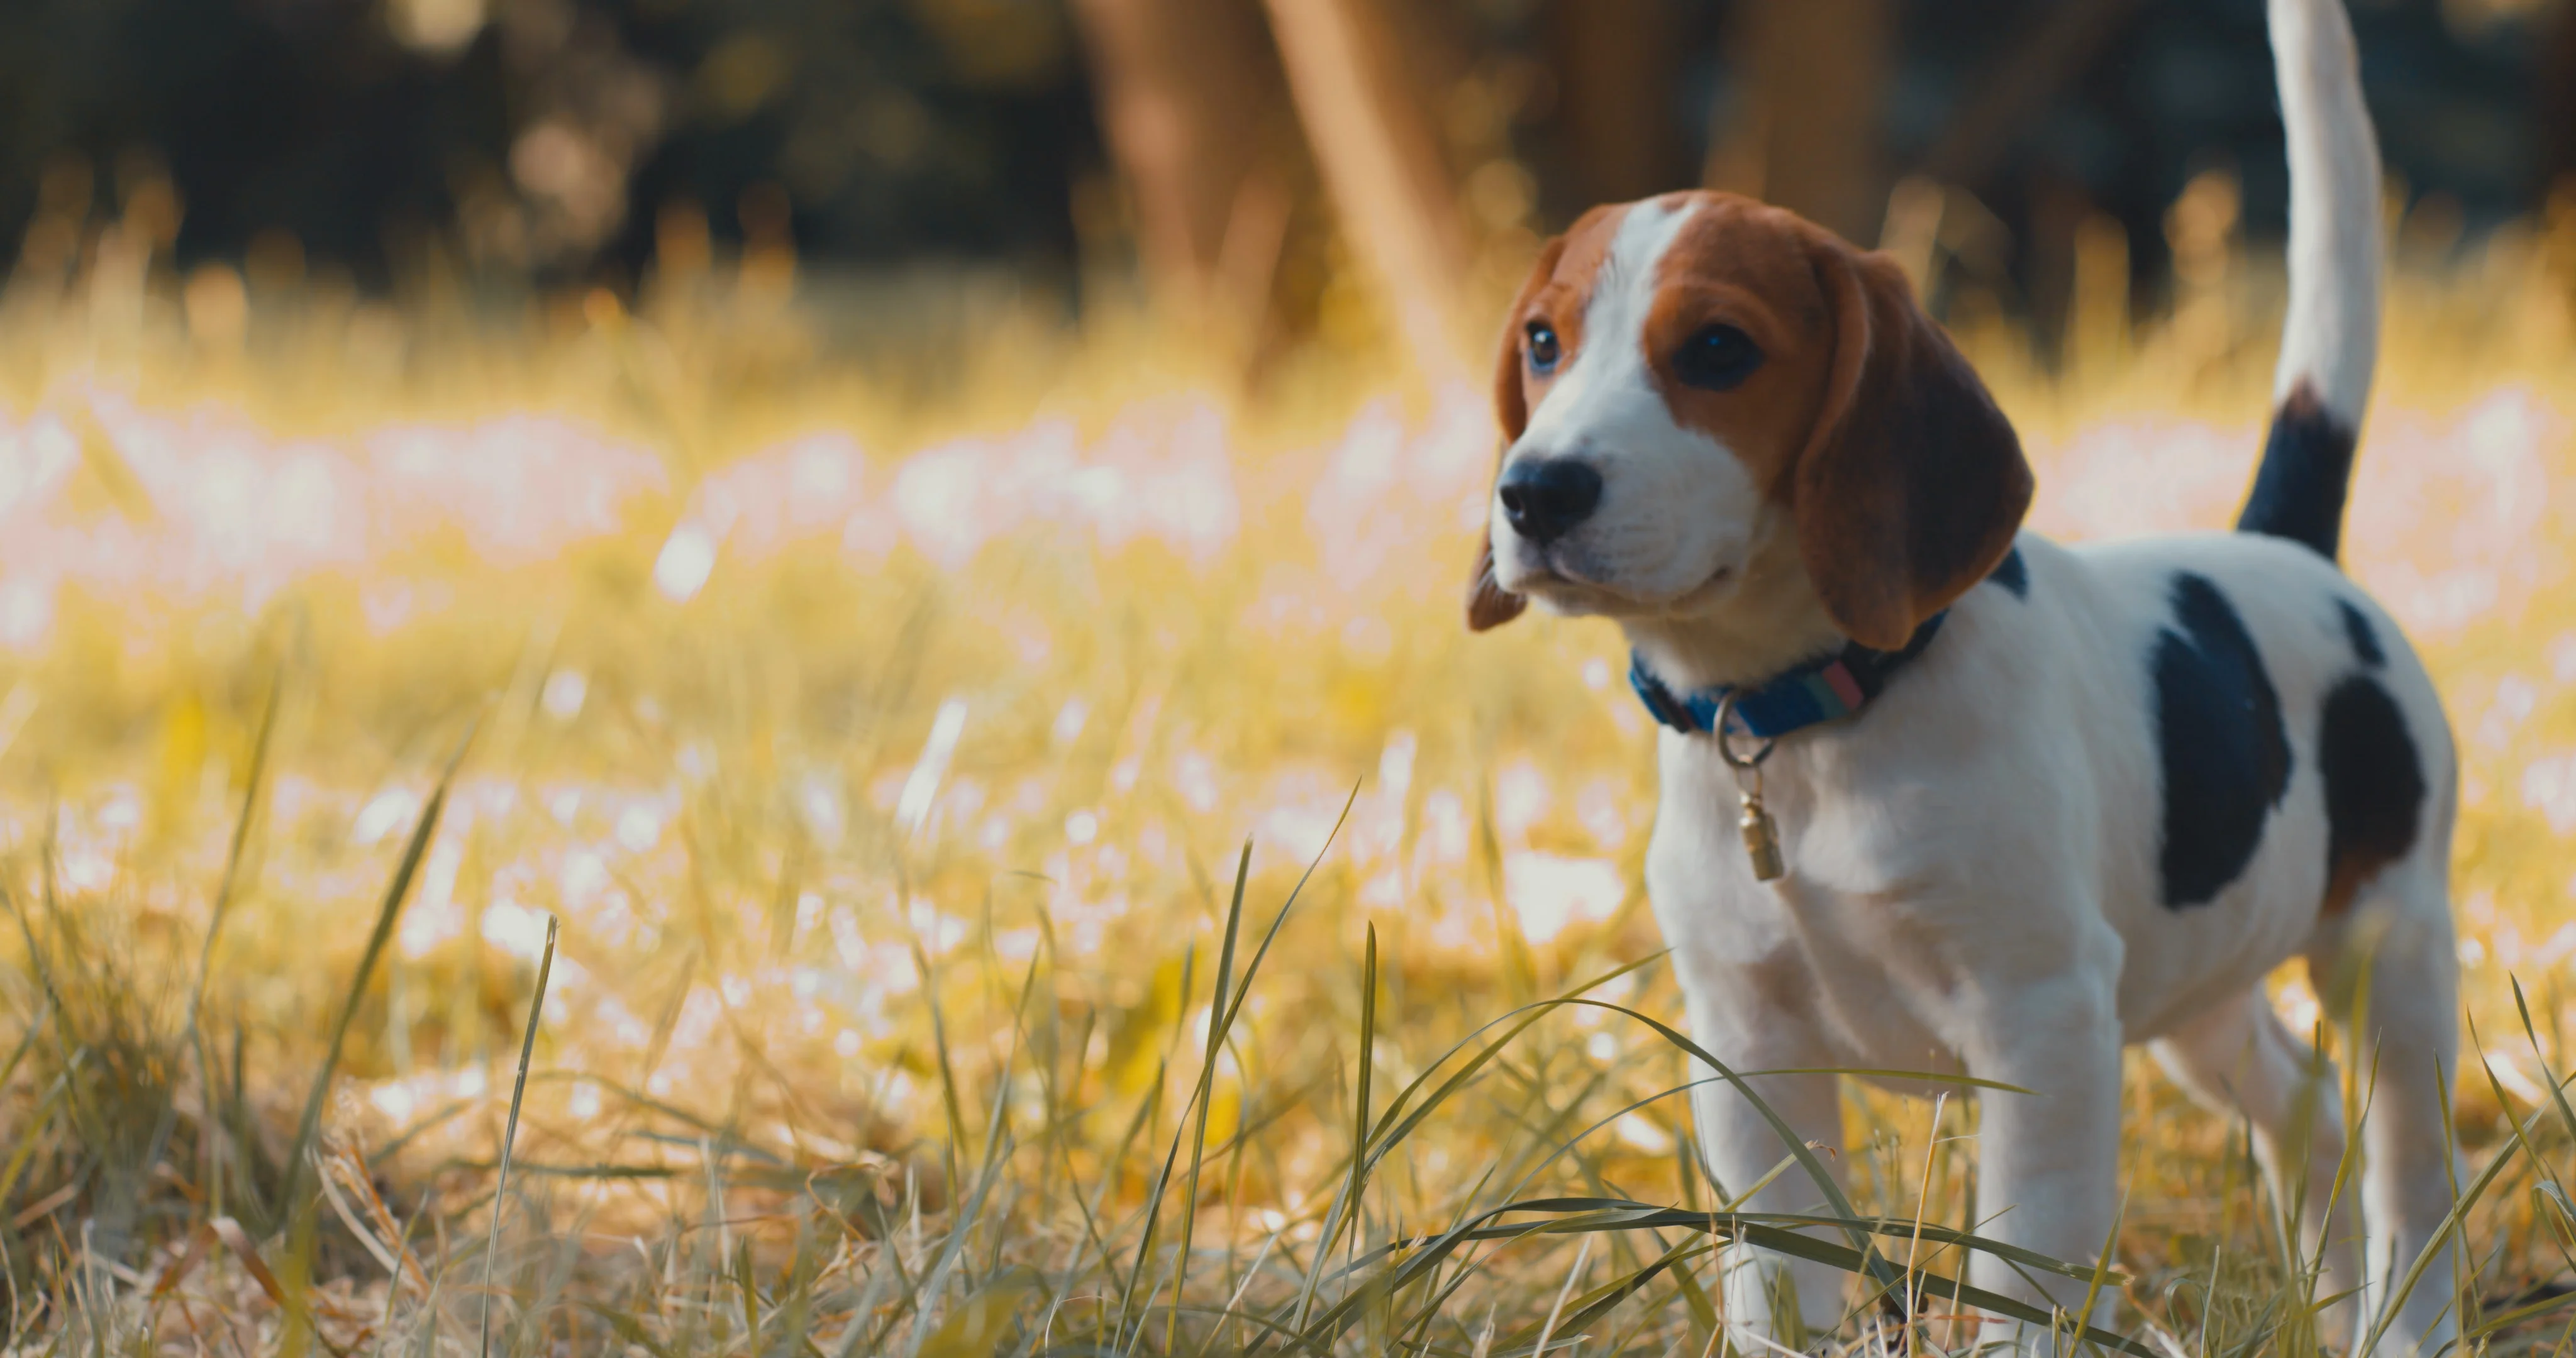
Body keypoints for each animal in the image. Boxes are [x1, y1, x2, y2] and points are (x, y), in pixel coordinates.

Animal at [1473, 0, 2452, 1350]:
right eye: (1543, 342)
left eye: (1719, 349)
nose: (1534, 493)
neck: (1805, 721)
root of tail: (2289, 550)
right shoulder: (1748, 1039)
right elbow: (1776, 1275)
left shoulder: (2041, 1018)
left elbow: (2021, 1272)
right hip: (2192, 990)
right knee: (2303, 1107)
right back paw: (2333, 1305)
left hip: (2389, 953)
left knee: (2409, 1174)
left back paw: (2406, 1315)